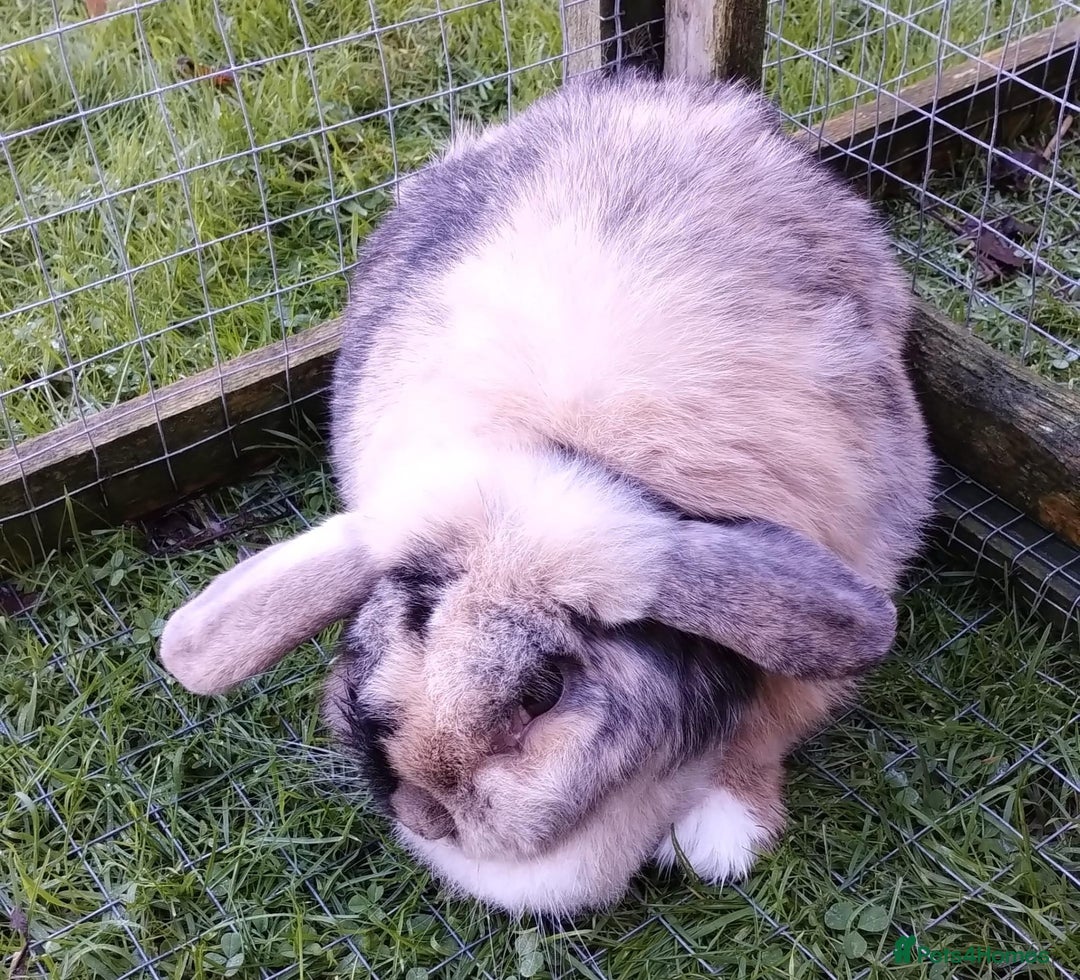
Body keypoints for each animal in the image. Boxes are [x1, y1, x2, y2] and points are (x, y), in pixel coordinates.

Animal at [159, 70, 936, 916]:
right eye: (409, 624)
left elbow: (770, 724)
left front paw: (721, 838)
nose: (428, 816)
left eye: (543, 694)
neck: (560, 451)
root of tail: (653, 93)